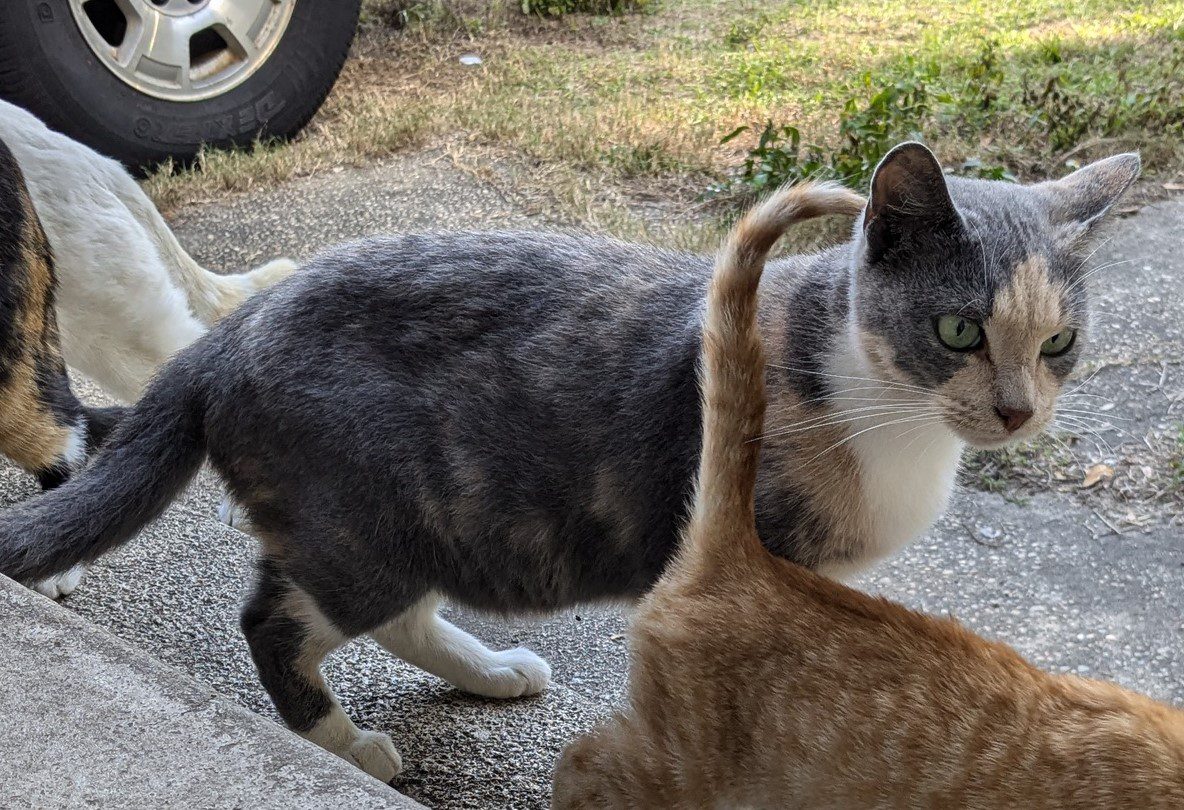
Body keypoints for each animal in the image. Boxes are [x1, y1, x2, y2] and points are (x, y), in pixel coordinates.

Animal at [0, 142, 1136, 776]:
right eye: (957, 331)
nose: (1014, 411)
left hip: (417, 521)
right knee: (277, 622)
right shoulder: (763, 563)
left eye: (1057, 343)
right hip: (358, 526)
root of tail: (220, 341)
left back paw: (492, 670)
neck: (884, 409)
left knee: (397, 613)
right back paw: (348, 746)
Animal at [549, 183, 1184, 810]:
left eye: (1058, 343)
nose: (1018, 413)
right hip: (674, 770)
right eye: (961, 332)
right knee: (578, 764)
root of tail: (744, 555)